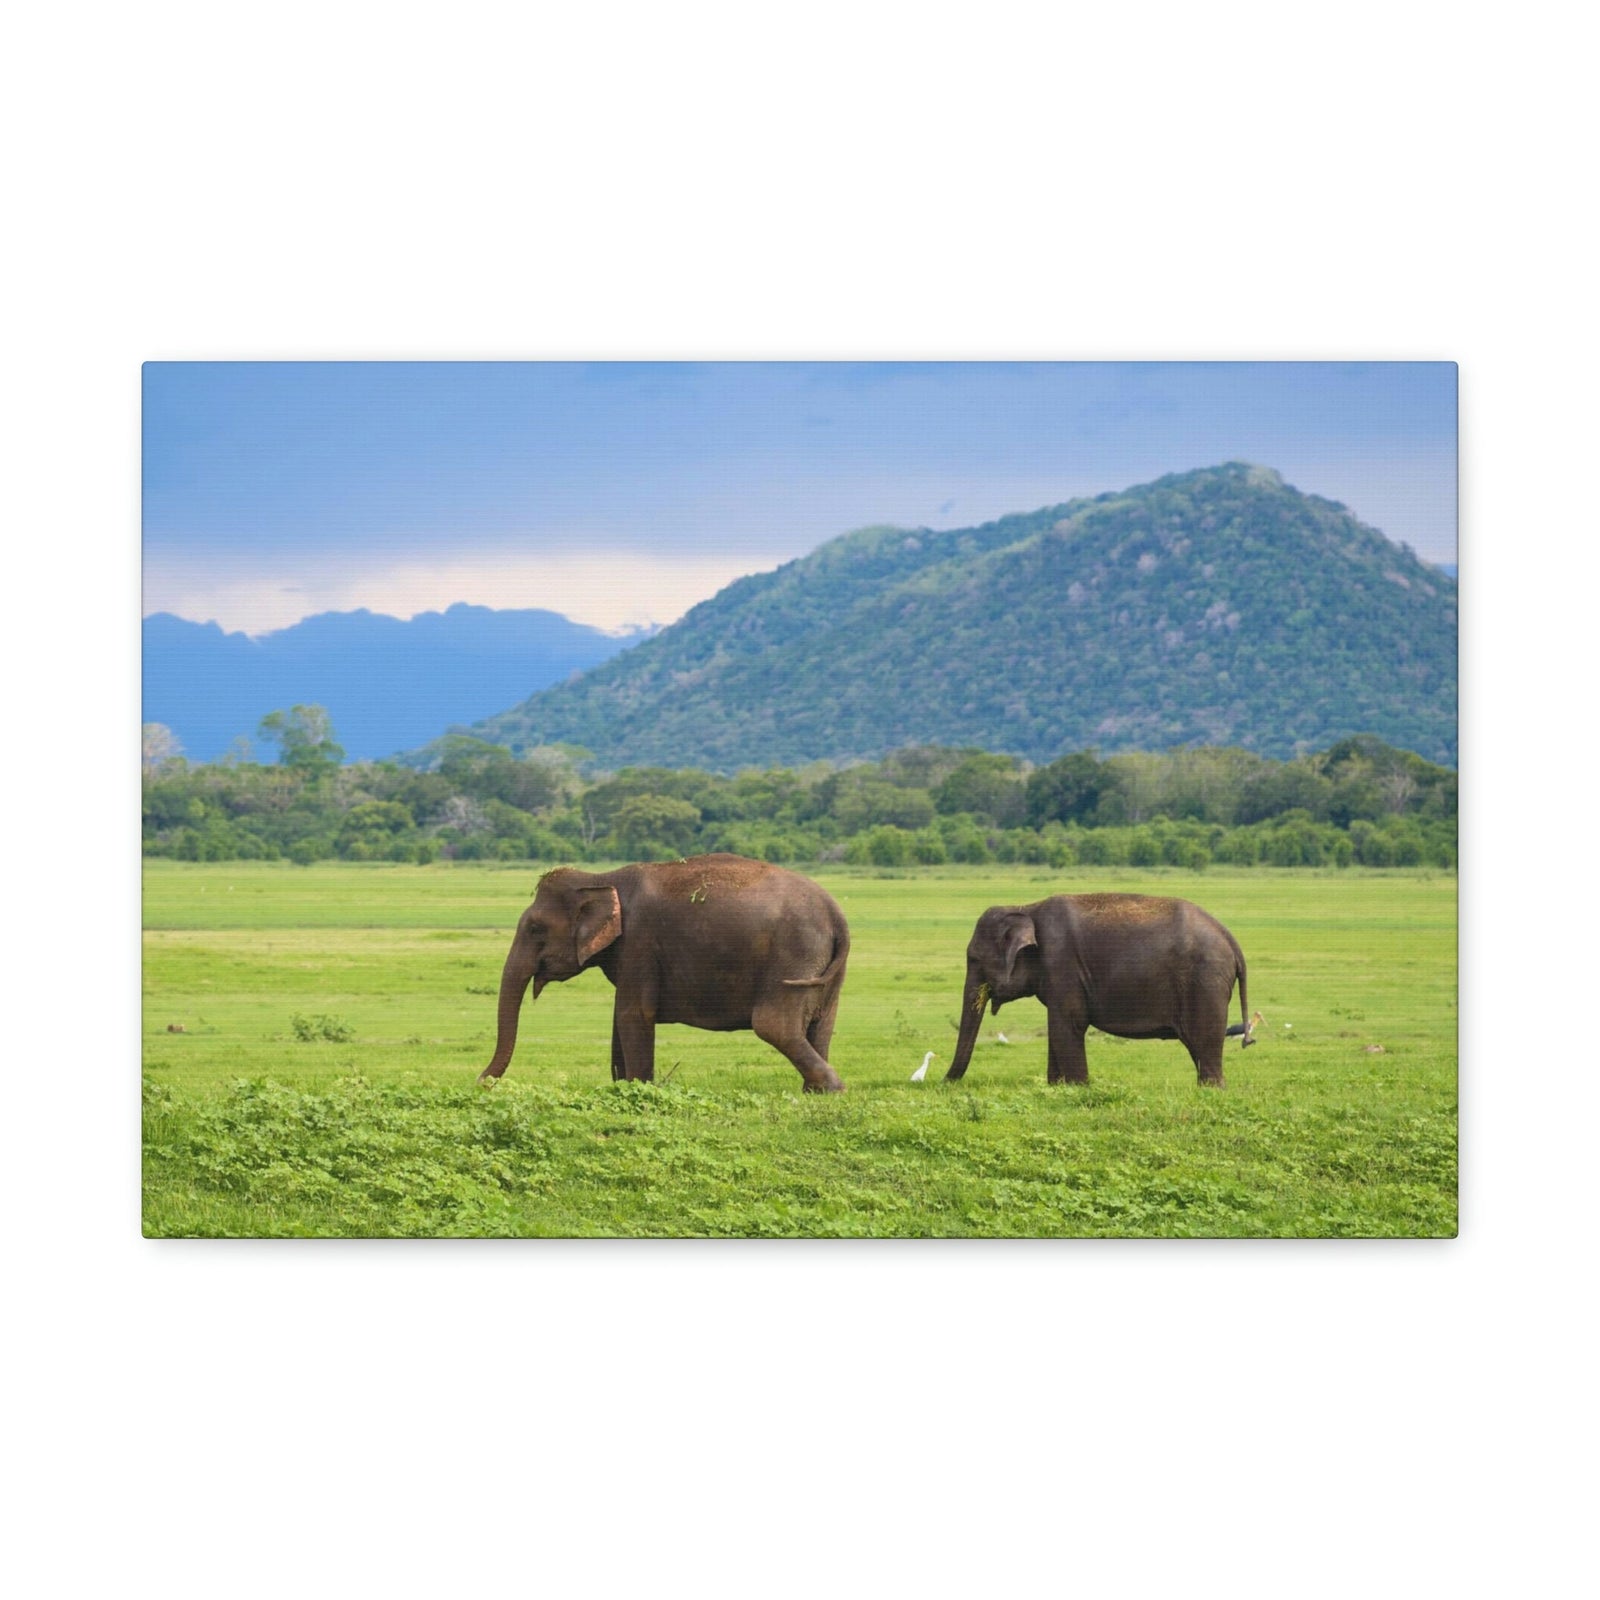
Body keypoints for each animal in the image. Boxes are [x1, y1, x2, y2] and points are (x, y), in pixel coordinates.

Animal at [480, 853, 850, 1092]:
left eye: (535, 929)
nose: (482, 1083)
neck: (601, 879)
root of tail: (836, 913)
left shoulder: (639, 943)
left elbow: (633, 1014)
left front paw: (640, 1089)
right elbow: (619, 1018)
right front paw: (622, 1087)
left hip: (793, 954)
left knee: (774, 1025)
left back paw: (833, 1088)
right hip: (825, 968)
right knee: (822, 1025)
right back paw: (814, 1093)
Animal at [945, 893, 1257, 1087]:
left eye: (974, 959)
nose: (943, 1083)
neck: (1026, 907)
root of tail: (1231, 940)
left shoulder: (1062, 965)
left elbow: (1068, 1024)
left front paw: (1078, 1088)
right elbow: (1058, 1030)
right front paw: (1057, 1087)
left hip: (1205, 983)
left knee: (1204, 1045)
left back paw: (1211, 1089)